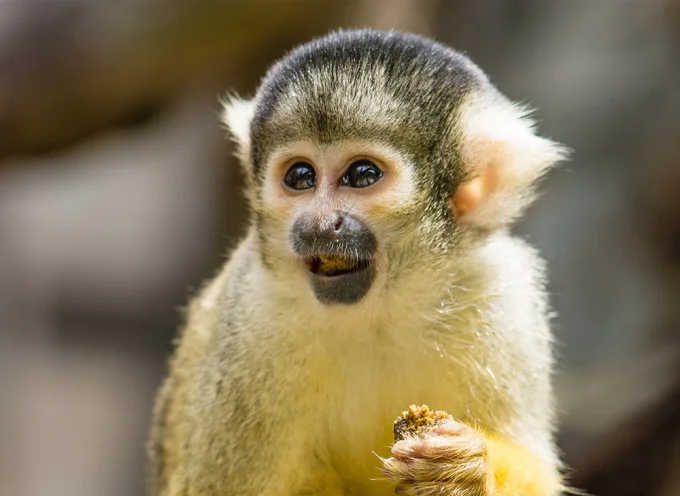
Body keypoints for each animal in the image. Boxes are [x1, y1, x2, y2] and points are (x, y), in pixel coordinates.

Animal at [148, 29, 569, 496]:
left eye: (363, 175)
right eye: (300, 177)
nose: (318, 223)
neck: (377, 311)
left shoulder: (499, 295)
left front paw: (463, 471)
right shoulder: (249, 321)